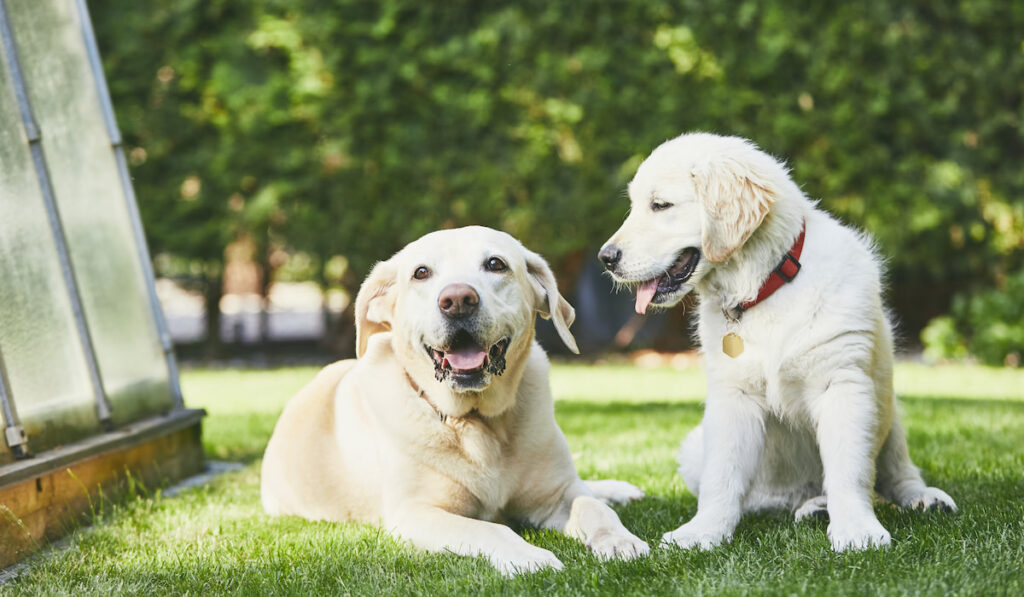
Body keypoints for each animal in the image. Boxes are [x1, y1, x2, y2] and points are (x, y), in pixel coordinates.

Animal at [262, 225, 647, 573]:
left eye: (495, 264)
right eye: (421, 272)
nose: (458, 300)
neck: (477, 421)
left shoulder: (558, 493)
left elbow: (591, 506)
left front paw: (619, 540)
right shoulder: (416, 513)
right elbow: (491, 529)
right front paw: (529, 557)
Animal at [598, 133, 954, 552]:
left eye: (660, 205)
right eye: (635, 206)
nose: (605, 257)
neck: (764, 287)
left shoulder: (843, 383)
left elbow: (848, 469)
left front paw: (856, 529)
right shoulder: (733, 396)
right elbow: (722, 475)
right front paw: (703, 531)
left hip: (888, 409)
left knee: (897, 473)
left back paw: (921, 497)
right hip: (695, 448)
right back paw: (812, 506)